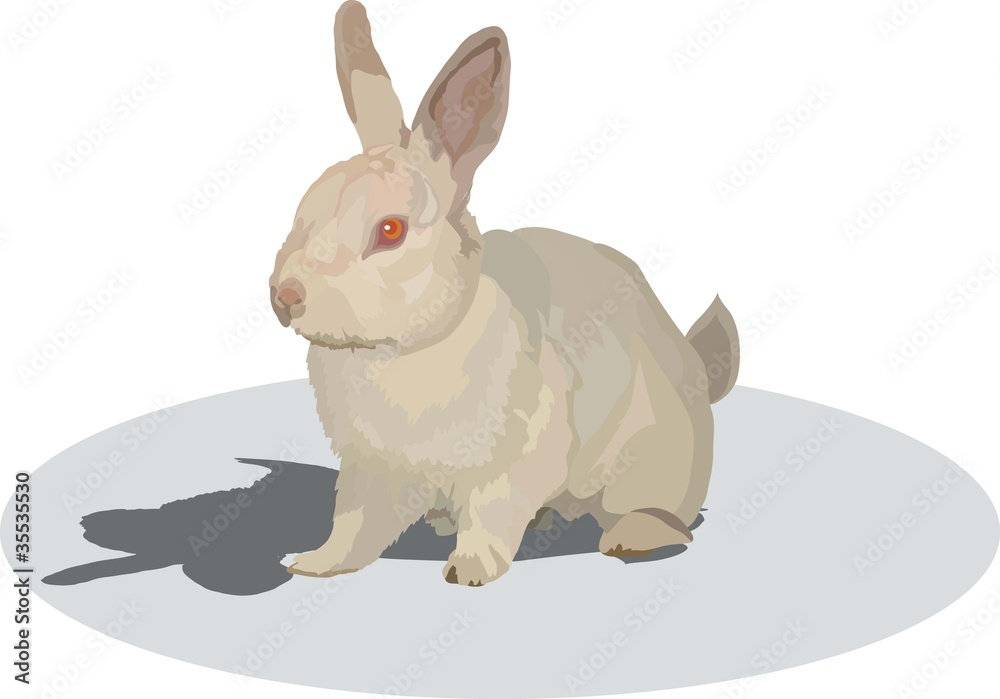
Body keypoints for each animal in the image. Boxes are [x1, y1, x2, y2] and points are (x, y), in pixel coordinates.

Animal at [269, 1, 740, 586]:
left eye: (391, 231)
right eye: (305, 206)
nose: (284, 296)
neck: (404, 349)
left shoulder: (509, 463)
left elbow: (490, 515)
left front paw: (469, 572)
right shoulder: (369, 470)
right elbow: (353, 526)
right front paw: (312, 564)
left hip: (653, 459)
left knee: (664, 516)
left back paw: (631, 539)